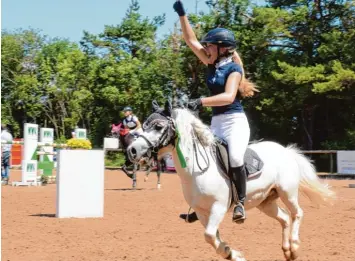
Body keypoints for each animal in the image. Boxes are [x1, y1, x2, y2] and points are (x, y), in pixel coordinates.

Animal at [128, 100, 336, 260]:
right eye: (144, 126)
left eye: (158, 127)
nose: (132, 150)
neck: (196, 171)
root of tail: (286, 150)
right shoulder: (202, 212)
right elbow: (213, 237)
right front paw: (231, 253)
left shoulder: (218, 207)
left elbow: (209, 235)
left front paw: (232, 253)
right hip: (265, 202)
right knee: (285, 218)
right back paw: (287, 251)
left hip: (288, 192)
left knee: (297, 213)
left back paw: (294, 245)